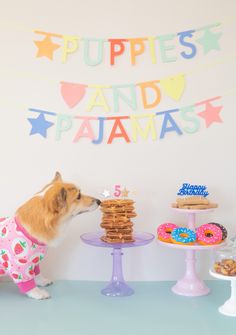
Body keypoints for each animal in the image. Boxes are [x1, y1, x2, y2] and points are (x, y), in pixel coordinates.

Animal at [0, 172, 100, 300]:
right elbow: (28, 282)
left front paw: (42, 281)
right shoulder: (20, 267)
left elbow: (37, 273)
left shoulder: (35, 261)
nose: (99, 201)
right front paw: (38, 293)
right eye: (78, 196)